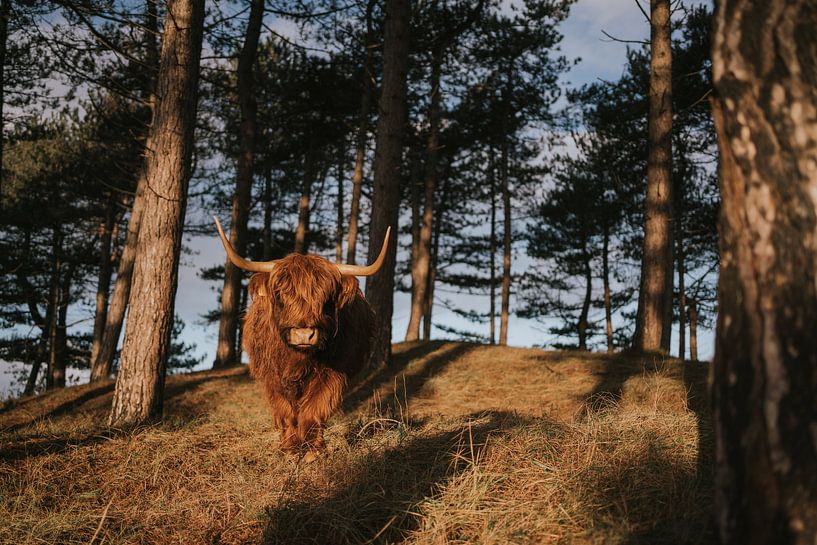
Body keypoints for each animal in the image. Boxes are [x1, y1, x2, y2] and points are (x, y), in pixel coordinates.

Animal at [214, 217, 386, 460]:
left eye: (326, 298)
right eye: (281, 294)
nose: (304, 334)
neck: (298, 359)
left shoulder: (333, 374)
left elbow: (313, 409)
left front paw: (313, 451)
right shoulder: (271, 376)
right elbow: (286, 411)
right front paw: (289, 449)